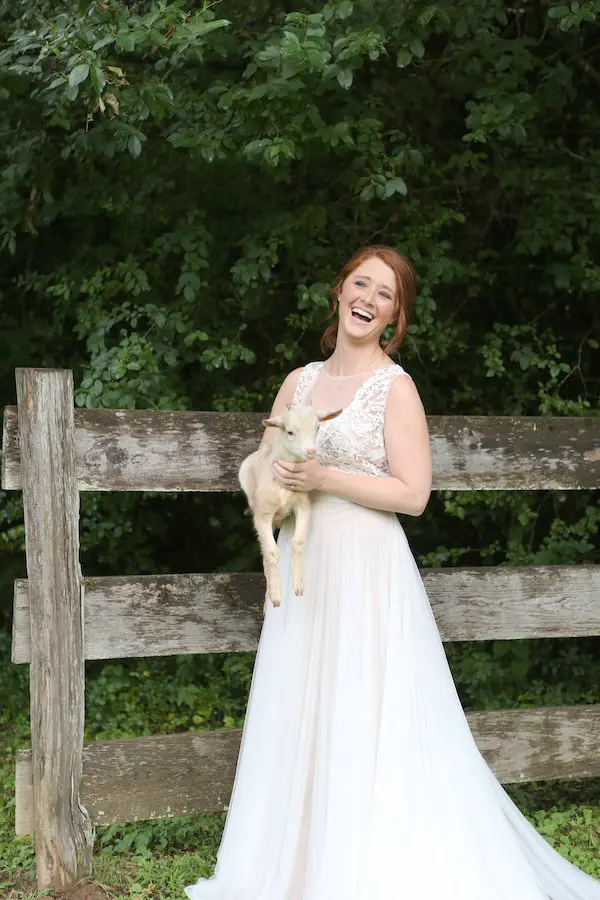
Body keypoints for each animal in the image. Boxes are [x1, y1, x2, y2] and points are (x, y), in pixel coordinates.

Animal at [239, 406, 342, 612]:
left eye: (317, 428)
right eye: (290, 432)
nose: (310, 451)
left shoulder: (302, 505)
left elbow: (299, 542)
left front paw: (299, 583)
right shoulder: (262, 515)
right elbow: (272, 553)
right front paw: (276, 595)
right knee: (265, 556)